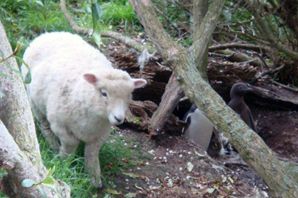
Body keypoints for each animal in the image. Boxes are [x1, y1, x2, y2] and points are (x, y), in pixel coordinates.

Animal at [21, 31, 147, 188]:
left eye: (129, 95)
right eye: (104, 93)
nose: (119, 118)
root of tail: (49, 33)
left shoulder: (100, 134)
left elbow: (91, 154)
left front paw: (94, 179)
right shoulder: (60, 126)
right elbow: (70, 145)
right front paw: (63, 163)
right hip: (35, 102)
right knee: (45, 126)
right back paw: (53, 146)